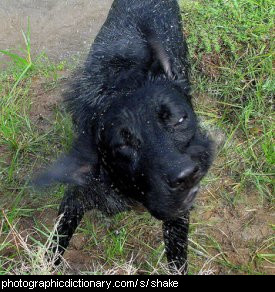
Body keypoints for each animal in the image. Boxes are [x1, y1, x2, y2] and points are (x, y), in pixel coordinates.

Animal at [34, 0, 215, 274]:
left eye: (179, 120)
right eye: (123, 144)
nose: (185, 176)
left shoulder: (177, 215)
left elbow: (177, 260)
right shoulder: (75, 199)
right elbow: (55, 244)